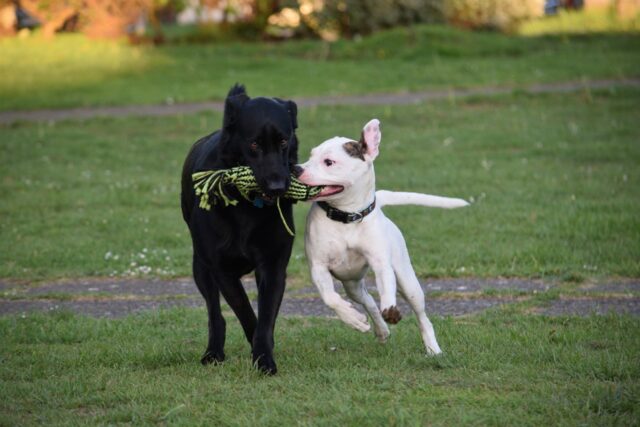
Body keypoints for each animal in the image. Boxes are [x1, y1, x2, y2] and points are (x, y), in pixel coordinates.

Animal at [180, 83, 300, 374]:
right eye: (254, 143)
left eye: (283, 141)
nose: (278, 187)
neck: (247, 204)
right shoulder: (222, 270)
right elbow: (245, 311)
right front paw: (259, 352)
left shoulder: (273, 266)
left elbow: (265, 316)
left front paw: (264, 356)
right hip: (200, 267)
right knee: (215, 314)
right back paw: (213, 352)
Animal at [298, 119, 468, 354]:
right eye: (311, 155)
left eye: (328, 162)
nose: (296, 169)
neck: (347, 217)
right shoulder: (318, 267)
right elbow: (331, 298)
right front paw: (353, 318)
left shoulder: (381, 263)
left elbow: (387, 287)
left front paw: (391, 309)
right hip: (352, 283)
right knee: (368, 301)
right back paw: (378, 329)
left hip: (409, 283)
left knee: (422, 316)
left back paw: (433, 349)